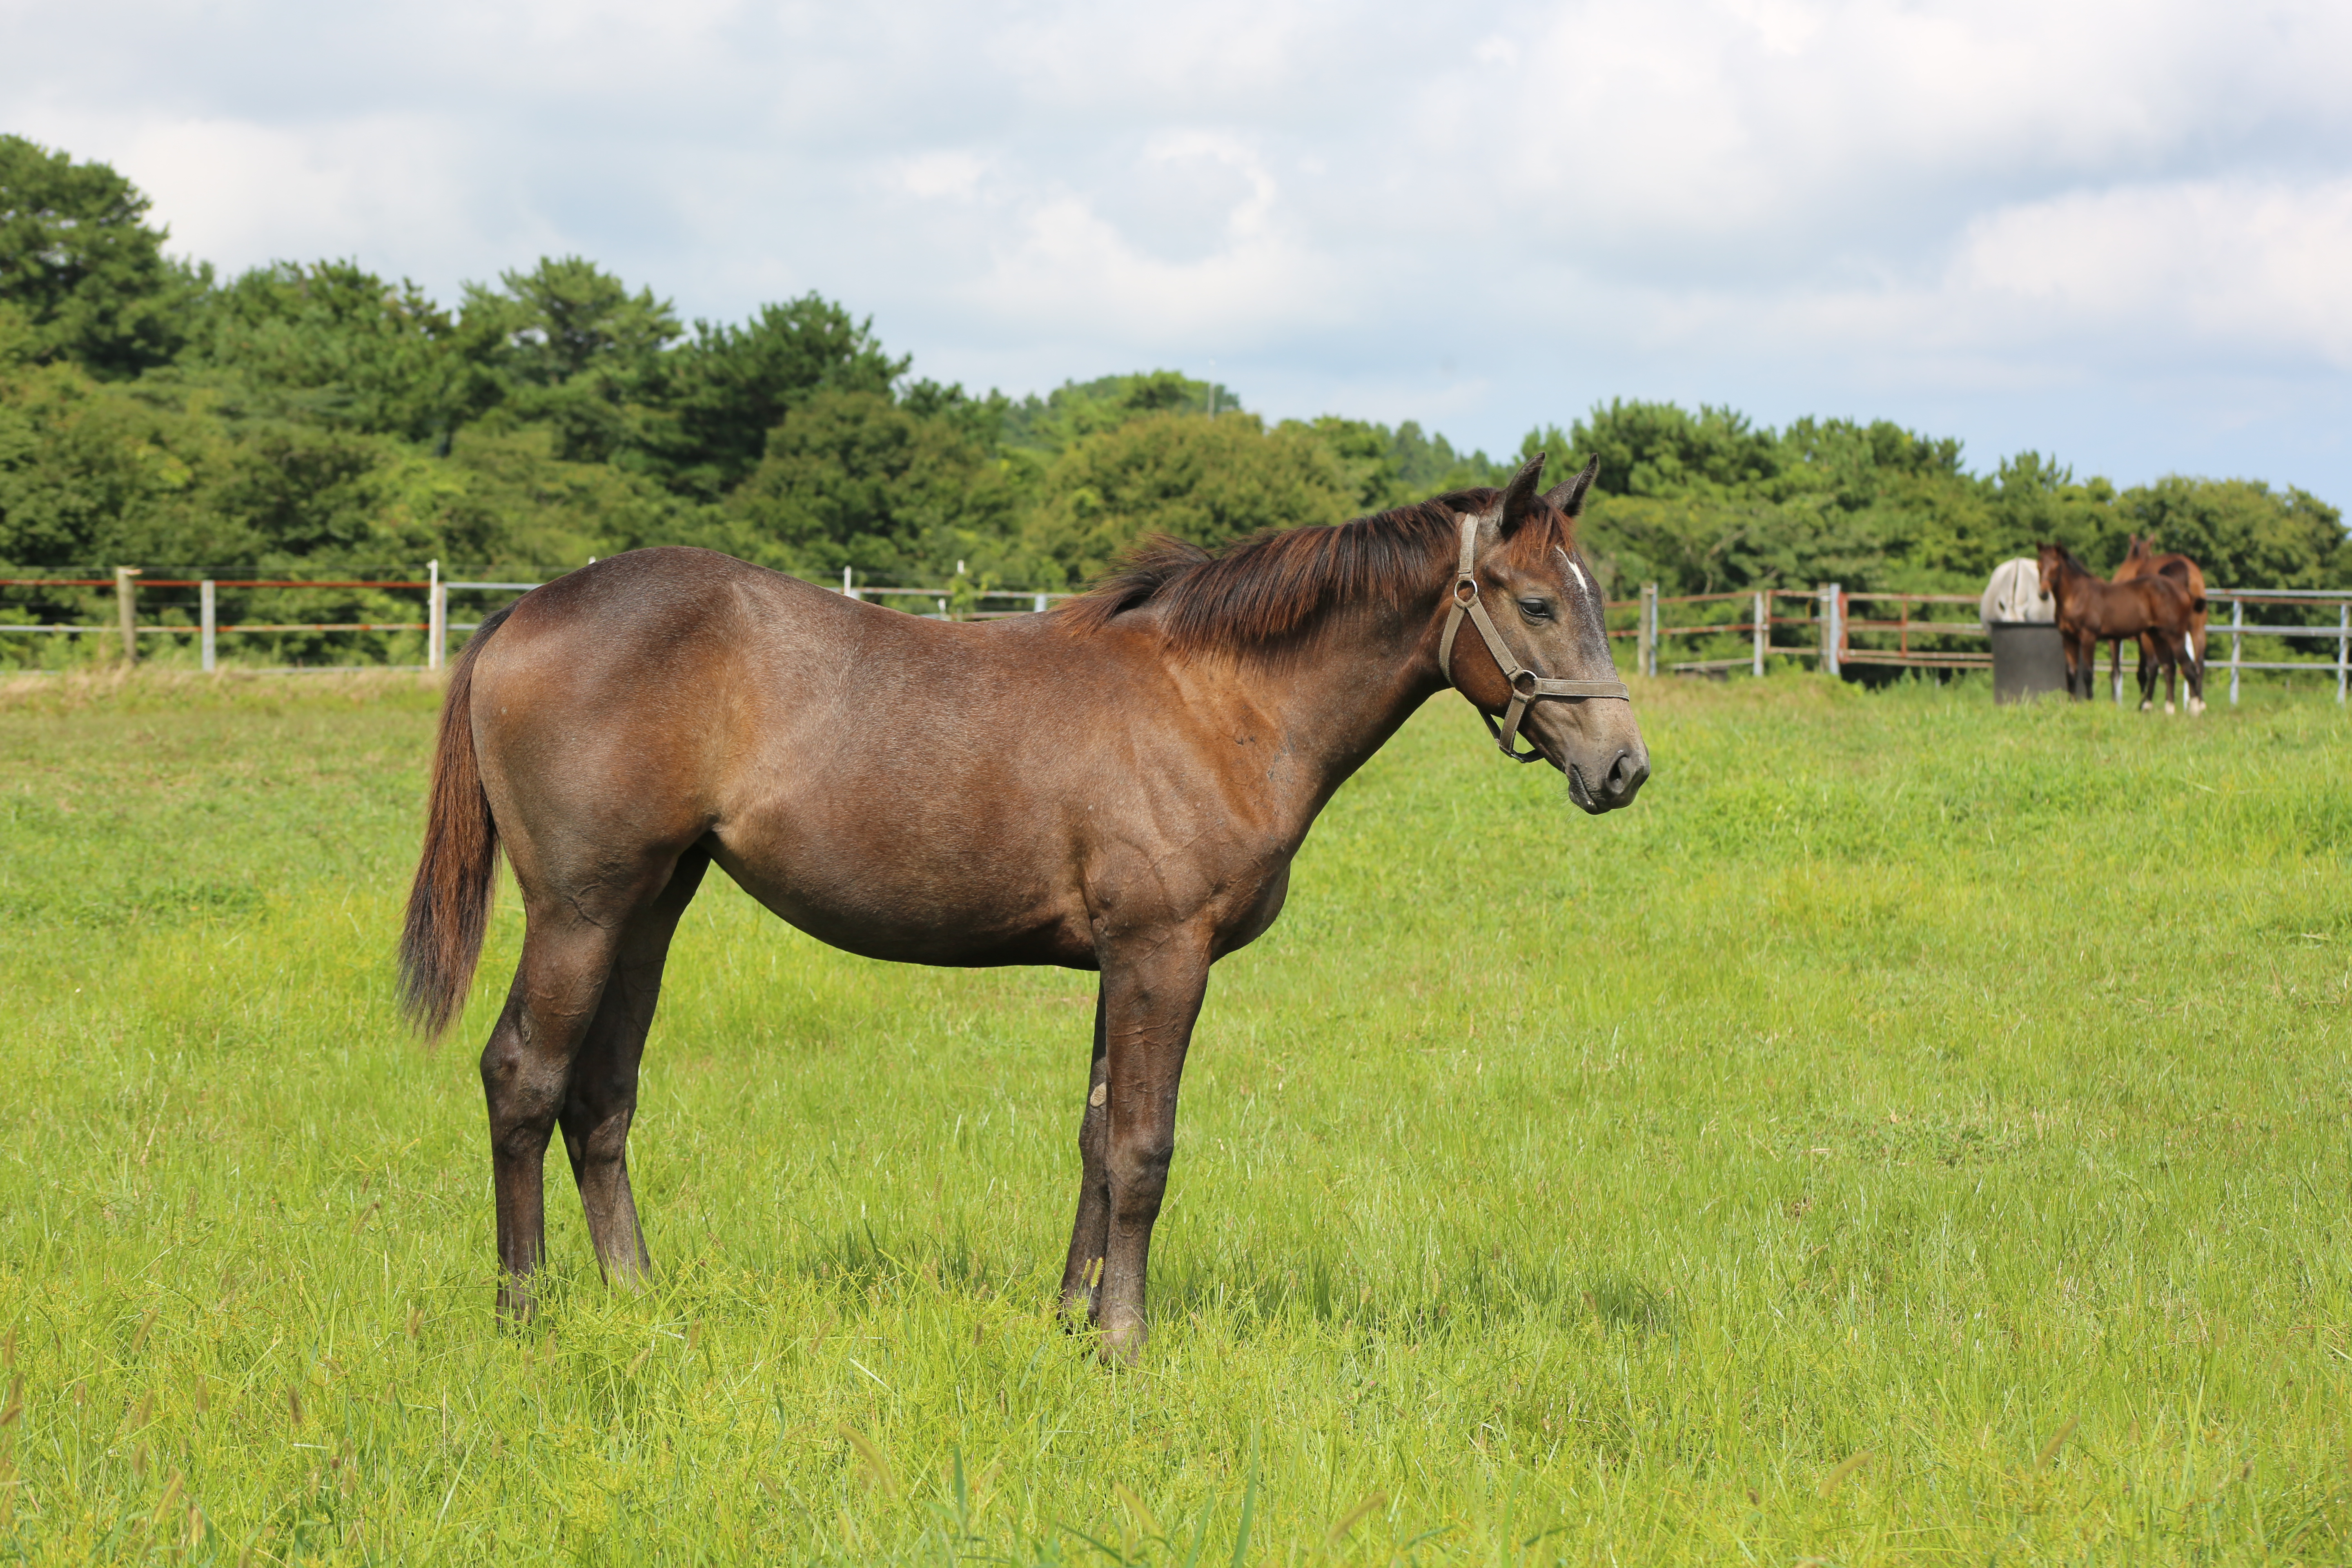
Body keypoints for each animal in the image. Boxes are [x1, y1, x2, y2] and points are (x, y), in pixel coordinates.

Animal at [400, 454, 1656, 1363]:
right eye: (1536, 602)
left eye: (1594, 599)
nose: (1624, 768)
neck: (1217, 701)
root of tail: (519, 615)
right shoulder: (1164, 954)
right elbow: (1145, 1146)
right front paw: (1124, 1343)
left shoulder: (1120, 962)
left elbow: (1097, 1138)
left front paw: (1069, 1318)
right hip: (580, 908)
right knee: (524, 1077)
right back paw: (524, 1314)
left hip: (652, 905)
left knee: (601, 1098)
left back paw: (637, 1298)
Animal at [2041, 541, 2201, 710]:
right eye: (2040, 564)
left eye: (2056, 565)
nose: (2043, 592)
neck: (2077, 596)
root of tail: (2184, 592)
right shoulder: (2069, 638)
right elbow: (2072, 673)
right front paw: (2072, 705)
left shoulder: (2090, 637)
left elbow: (2090, 673)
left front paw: (2091, 704)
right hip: (2159, 636)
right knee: (2169, 667)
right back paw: (2166, 709)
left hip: (2173, 636)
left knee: (2187, 668)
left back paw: (2194, 709)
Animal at [2107, 533, 2211, 719]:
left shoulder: (2122, 639)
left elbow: (2123, 671)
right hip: (2197, 629)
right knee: (2199, 663)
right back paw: (2198, 703)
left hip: (2152, 637)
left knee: (2156, 666)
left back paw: (2150, 704)